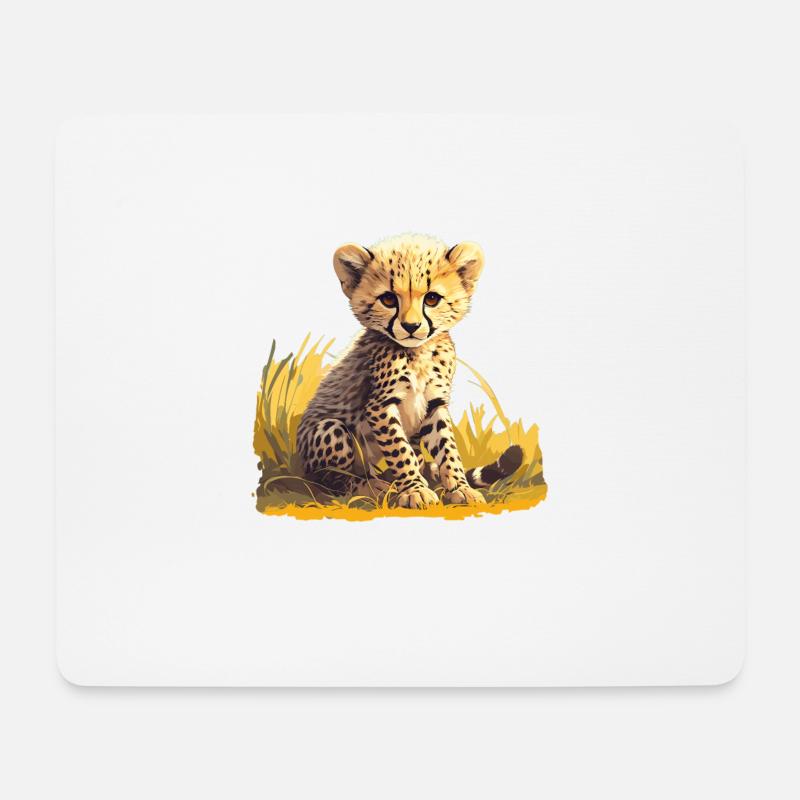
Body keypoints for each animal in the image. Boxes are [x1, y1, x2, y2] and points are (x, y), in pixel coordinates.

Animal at [297, 233, 523, 509]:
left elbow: (447, 448)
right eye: (388, 299)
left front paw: (460, 487)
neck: (418, 353)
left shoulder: (434, 403)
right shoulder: (380, 406)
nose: (411, 326)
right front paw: (415, 490)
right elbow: (400, 451)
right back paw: (369, 486)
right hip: (328, 429)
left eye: (432, 299)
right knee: (331, 477)